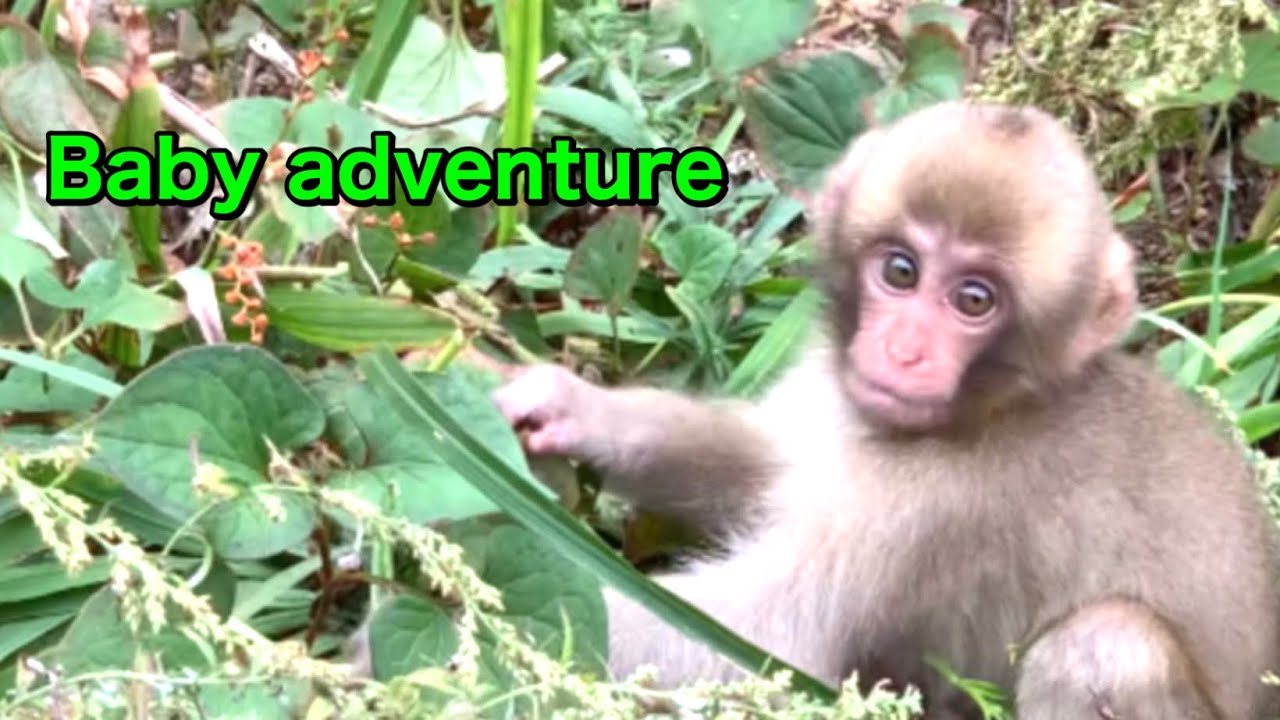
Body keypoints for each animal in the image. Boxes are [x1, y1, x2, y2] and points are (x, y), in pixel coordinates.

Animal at [490, 101, 1280, 719]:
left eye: (974, 300)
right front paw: (563, 405)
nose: (903, 351)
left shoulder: (933, 508)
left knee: (1105, 644)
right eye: (900, 271)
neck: (989, 408)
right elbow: (754, 468)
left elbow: (757, 638)